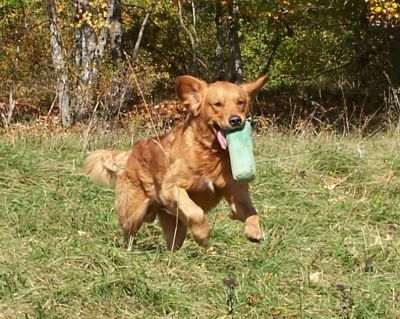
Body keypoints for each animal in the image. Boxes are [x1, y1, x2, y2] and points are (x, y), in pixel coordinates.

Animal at [84, 74, 266, 250]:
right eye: (217, 104)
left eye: (240, 102)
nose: (236, 120)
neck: (210, 153)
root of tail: (132, 152)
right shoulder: (170, 187)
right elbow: (196, 213)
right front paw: (202, 236)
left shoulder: (236, 192)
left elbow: (251, 211)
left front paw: (254, 231)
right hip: (132, 213)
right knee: (128, 233)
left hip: (173, 226)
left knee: (172, 245)